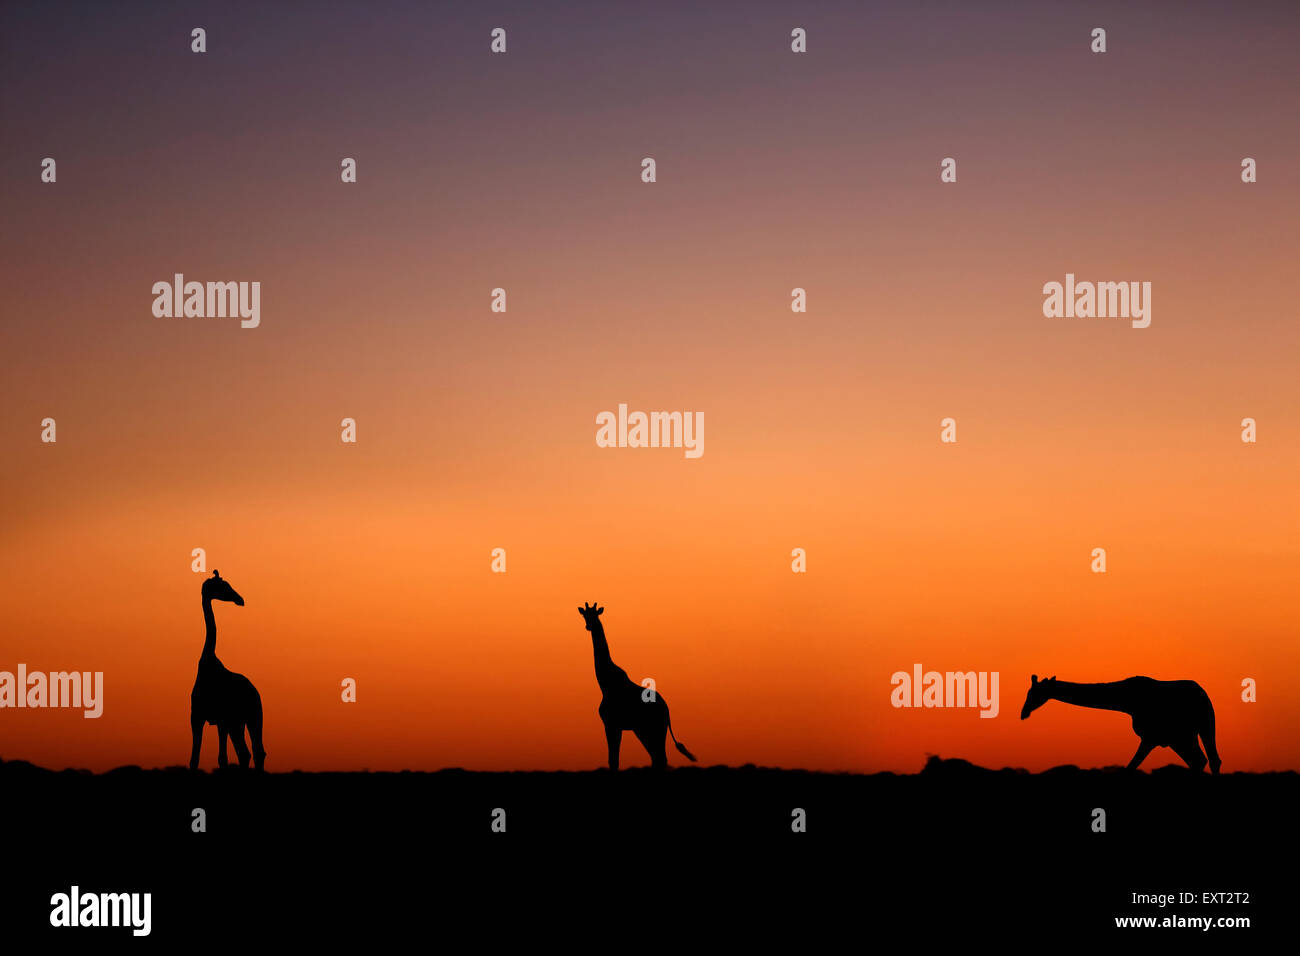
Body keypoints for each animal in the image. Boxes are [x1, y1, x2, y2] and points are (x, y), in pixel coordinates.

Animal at [189, 574, 266, 770]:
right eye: (223, 586)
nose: (240, 599)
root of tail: (255, 692)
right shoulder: (199, 718)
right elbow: (199, 759)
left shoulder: (219, 719)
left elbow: (219, 758)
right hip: (243, 720)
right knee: (251, 752)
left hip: (250, 717)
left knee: (251, 752)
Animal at [579, 600, 696, 775]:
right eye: (585, 615)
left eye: (595, 615)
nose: (589, 626)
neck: (606, 683)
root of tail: (667, 710)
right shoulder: (616, 726)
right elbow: (613, 760)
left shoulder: (611, 724)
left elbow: (613, 760)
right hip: (643, 730)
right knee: (657, 758)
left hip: (654, 728)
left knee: (660, 758)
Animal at [1019, 676, 1222, 775]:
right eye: (1028, 692)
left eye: (1035, 693)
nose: (1023, 713)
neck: (1126, 701)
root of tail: (1203, 694)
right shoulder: (1163, 739)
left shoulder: (1150, 738)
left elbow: (1129, 768)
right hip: (1188, 735)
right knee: (1203, 760)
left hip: (1198, 729)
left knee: (1208, 760)